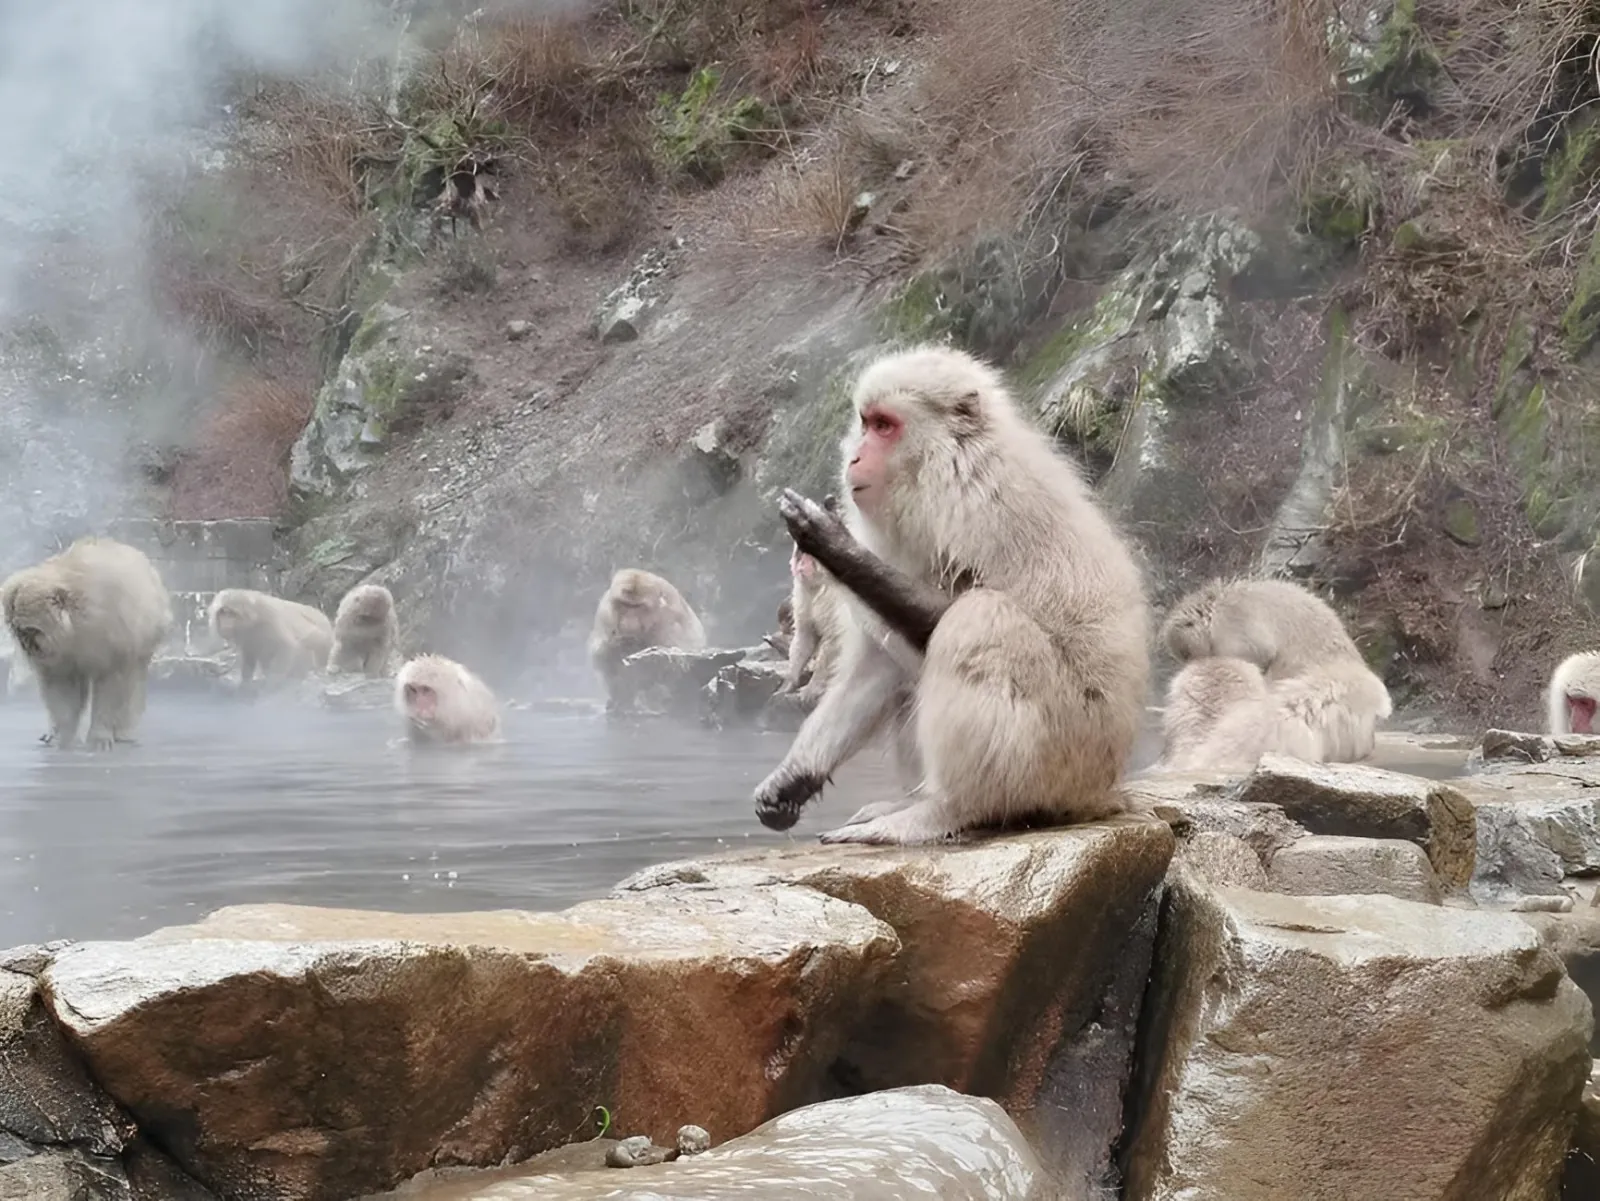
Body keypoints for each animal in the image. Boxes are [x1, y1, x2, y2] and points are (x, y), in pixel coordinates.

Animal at [0, 536, 172, 750]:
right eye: (18, 631)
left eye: (32, 630)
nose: (28, 647)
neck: (75, 626)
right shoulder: (60, 652)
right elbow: (62, 684)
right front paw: (65, 738)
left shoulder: (110, 631)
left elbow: (111, 681)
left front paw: (99, 738)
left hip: (148, 631)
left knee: (133, 678)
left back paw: (124, 732)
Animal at [587, 568, 707, 707]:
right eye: (625, 604)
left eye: (637, 606)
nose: (628, 622)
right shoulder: (605, 613)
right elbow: (600, 654)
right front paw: (619, 644)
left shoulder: (670, 622)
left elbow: (676, 661)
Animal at [751, 343, 1151, 845]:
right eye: (866, 422)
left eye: (885, 426)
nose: (855, 457)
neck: (939, 467)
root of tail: (1104, 789)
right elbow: (878, 667)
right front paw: (793, 778)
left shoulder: (979, 508)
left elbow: (945, 615)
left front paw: (836, 547)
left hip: (1065, 754)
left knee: (978, 620)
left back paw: (945, 809)